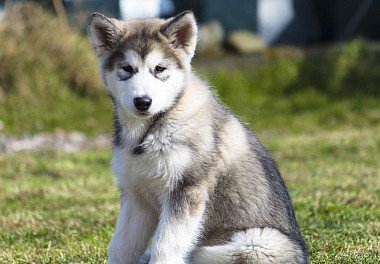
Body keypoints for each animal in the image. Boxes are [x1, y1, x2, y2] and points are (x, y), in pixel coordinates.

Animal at [87, 10, 308, 264]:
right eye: (127, 68)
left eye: (159, 69)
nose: (143, 102)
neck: (151, 129)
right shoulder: (136, 196)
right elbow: (120, 247)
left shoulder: (186, 191)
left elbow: (165, 245)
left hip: (254, 242)